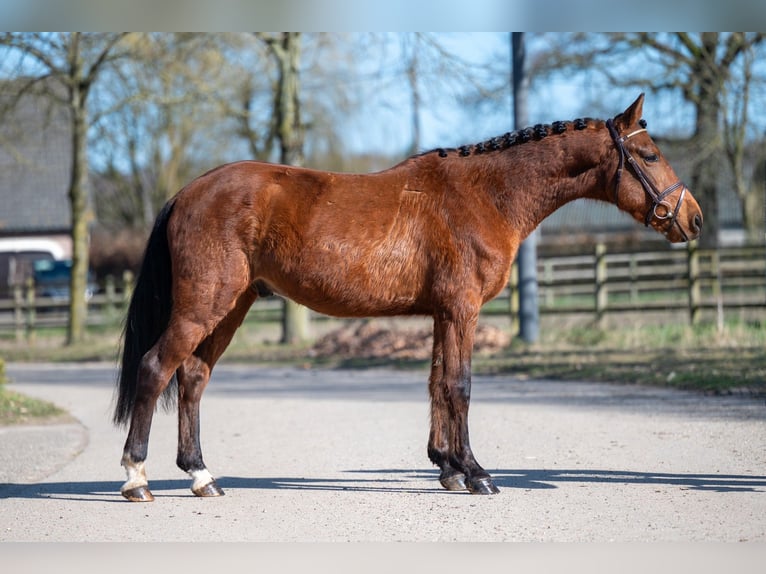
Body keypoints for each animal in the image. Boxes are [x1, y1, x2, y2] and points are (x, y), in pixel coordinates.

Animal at [112, 92, 704, 502]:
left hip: (232, 308)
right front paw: (478, 475)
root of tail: (189, 191)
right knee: (155, 368)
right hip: (203, 307)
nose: (694, 218)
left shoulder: (444, 313)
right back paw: (137, 478)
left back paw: (201, 476)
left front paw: (447, 468)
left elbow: (438, 385)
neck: (486, 194)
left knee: (192, 377)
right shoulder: (462, 311)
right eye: (648, 154)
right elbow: (460, 387)